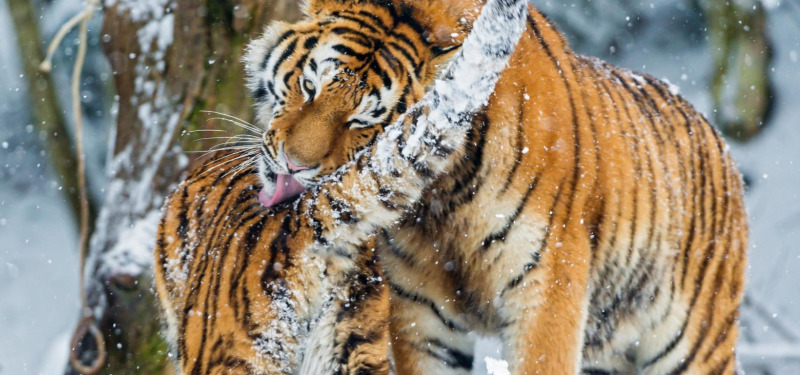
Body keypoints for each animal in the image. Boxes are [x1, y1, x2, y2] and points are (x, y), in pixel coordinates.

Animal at [242, 0, 752, 374]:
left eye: (367, 120)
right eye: (310, 86)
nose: (295, 164)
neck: (438, 205)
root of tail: (719, 142)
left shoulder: (548, 293)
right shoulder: (418, 310)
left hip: (692, 344)